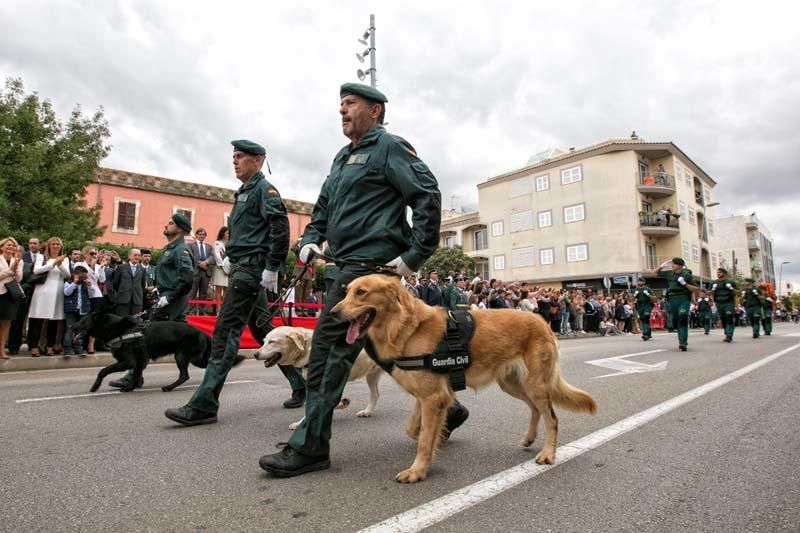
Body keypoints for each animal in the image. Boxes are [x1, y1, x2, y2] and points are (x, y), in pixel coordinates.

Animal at [75, 308, 244, 390]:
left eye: (82, 321)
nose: (71, 326)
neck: (118, 329)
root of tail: (202, 332)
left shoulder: (128, 362)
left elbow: (103, 370)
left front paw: (96, 386)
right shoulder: (139, 361)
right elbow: (137, 374)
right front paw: (133, 385)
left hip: (183, 357)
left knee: (185, 375)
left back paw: (169, 388)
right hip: (192, 358)